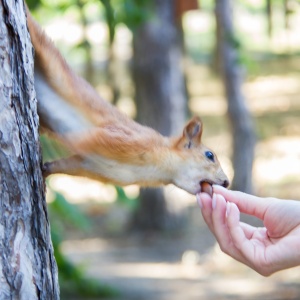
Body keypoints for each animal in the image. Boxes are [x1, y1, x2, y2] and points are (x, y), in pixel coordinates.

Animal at [26, 8, 230, 195]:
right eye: (210, 155)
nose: (227, 182)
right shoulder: (123, 139)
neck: (156, 169)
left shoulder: (91, 166)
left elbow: (68, 164)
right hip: (48, 58)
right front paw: (56, 144)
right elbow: (79, 139)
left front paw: (47, 169)